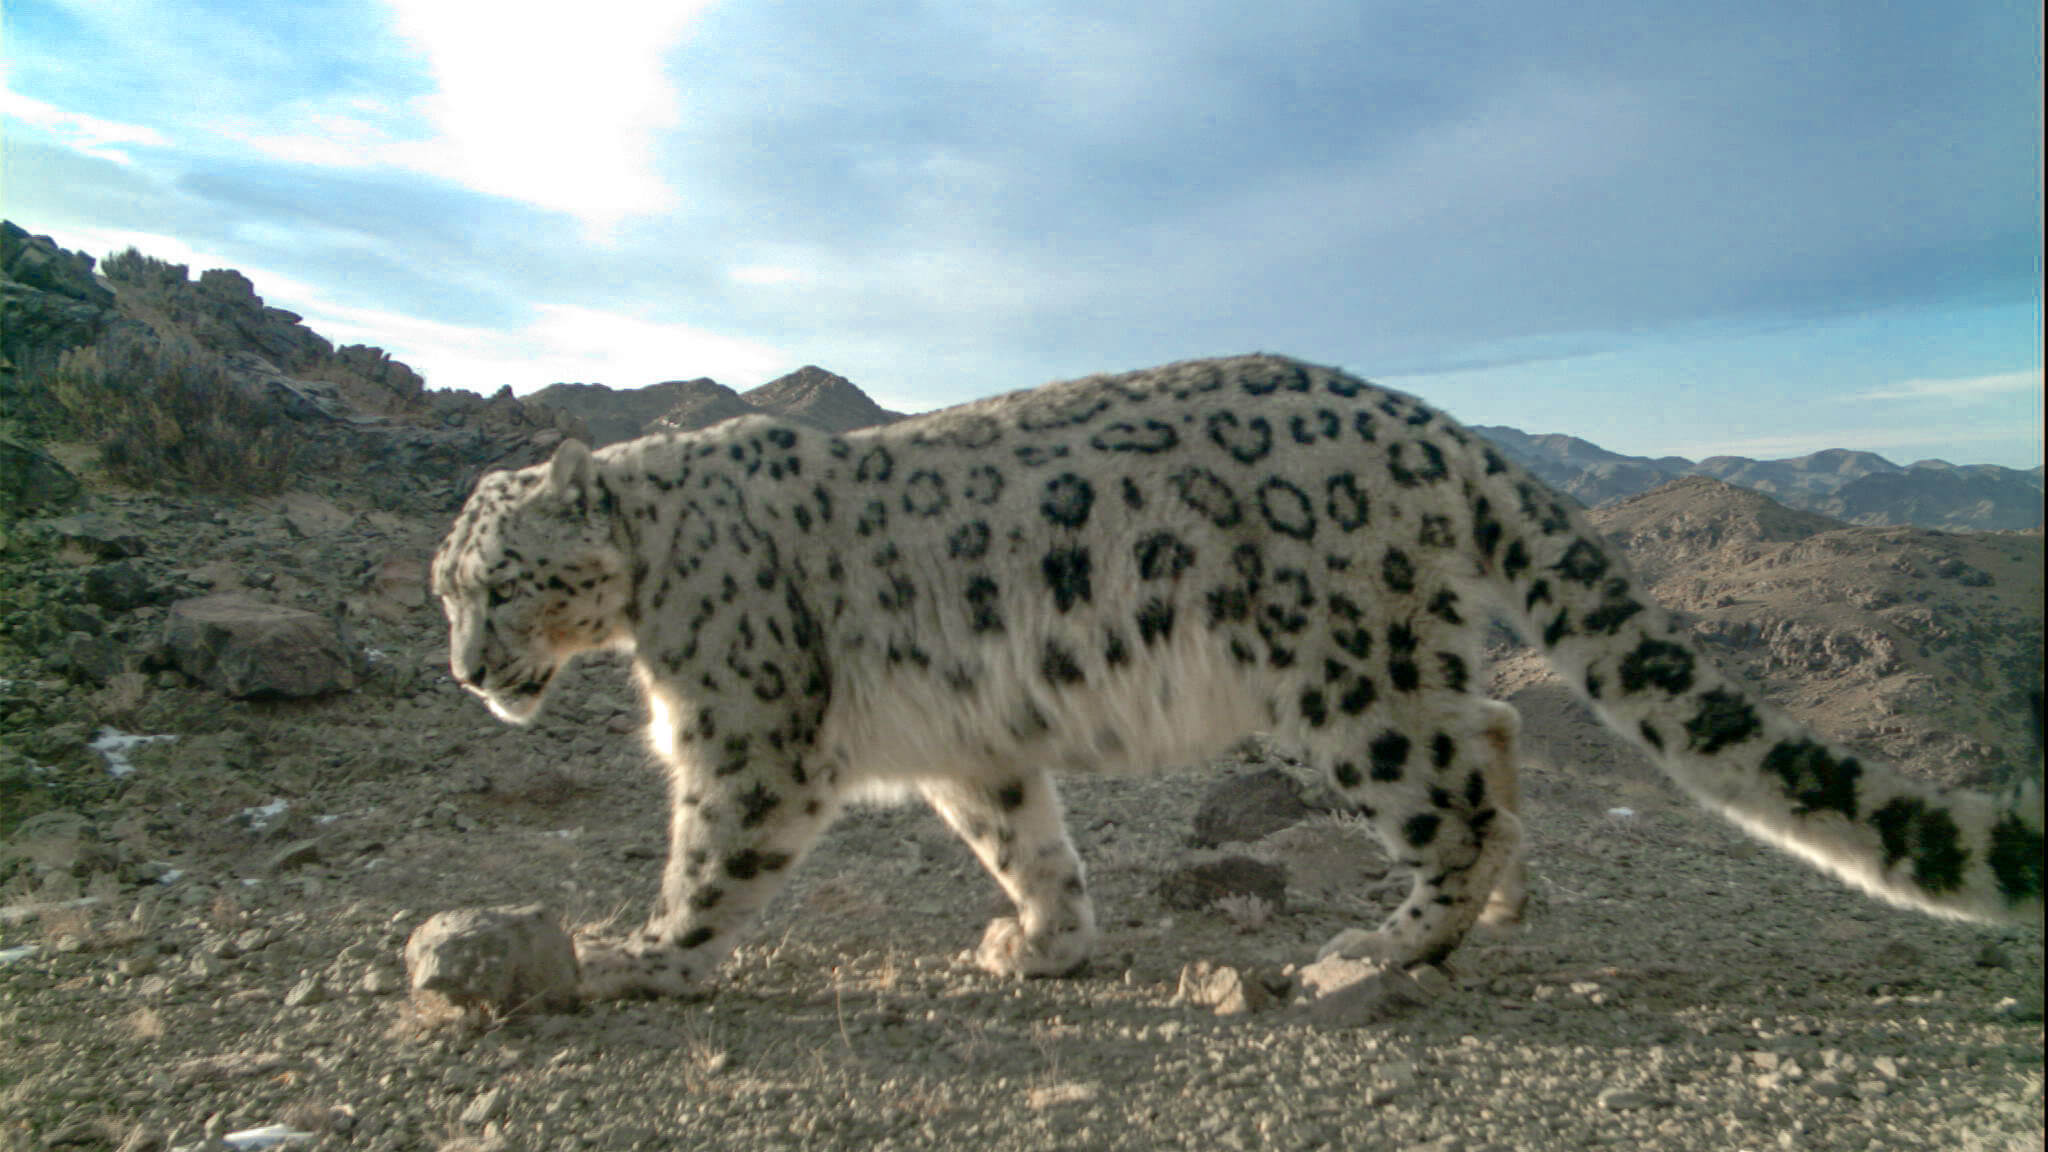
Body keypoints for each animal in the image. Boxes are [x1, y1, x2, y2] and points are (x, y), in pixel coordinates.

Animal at [431, 353, 2043, 999]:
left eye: (501, 580)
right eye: (445, 590)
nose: (465, 668)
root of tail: (1430, 423)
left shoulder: (747, 736)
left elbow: (707, 853)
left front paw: (641, 956)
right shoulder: (976, 746)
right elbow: (1025, 841)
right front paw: (1044, 942)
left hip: (1341, 687)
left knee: (1453, 791)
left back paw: (1382, 947)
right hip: (1402, 656)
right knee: (1495, 719)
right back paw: (1508, 901)